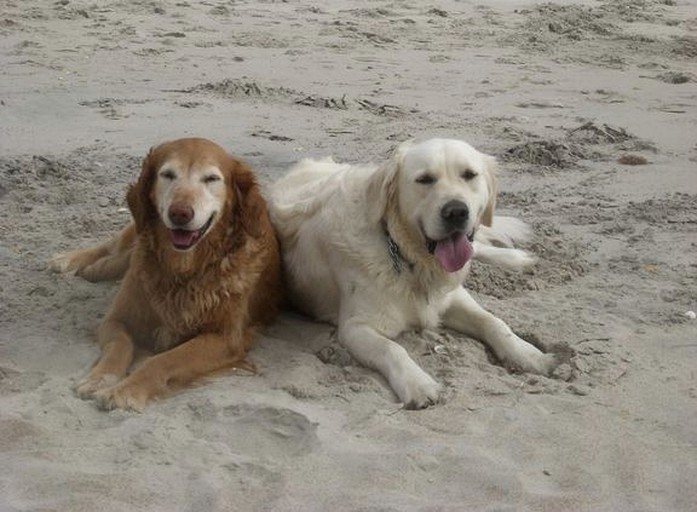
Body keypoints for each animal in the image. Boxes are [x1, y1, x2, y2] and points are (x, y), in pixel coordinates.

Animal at [51, 138, 282, 410]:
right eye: (168, 174)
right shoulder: (116, 319)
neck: (182, 269)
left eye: (211, 178)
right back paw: (71, 261)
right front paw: (99, 378)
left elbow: (164, 360)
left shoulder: (226, 338)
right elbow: (119, 345)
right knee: (113, 247)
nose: (180, 213)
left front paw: (126, 389)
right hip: (135, 229)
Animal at [270, 139, 556, 408]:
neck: (407, 256)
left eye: (469, 175)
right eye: (424, 179)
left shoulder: (450, 297)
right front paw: (419, 384)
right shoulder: (355, 327)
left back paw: (517, 259)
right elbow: (393, 348)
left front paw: (529, 355)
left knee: (477, 249)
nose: (456, 211)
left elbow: (493, 322)